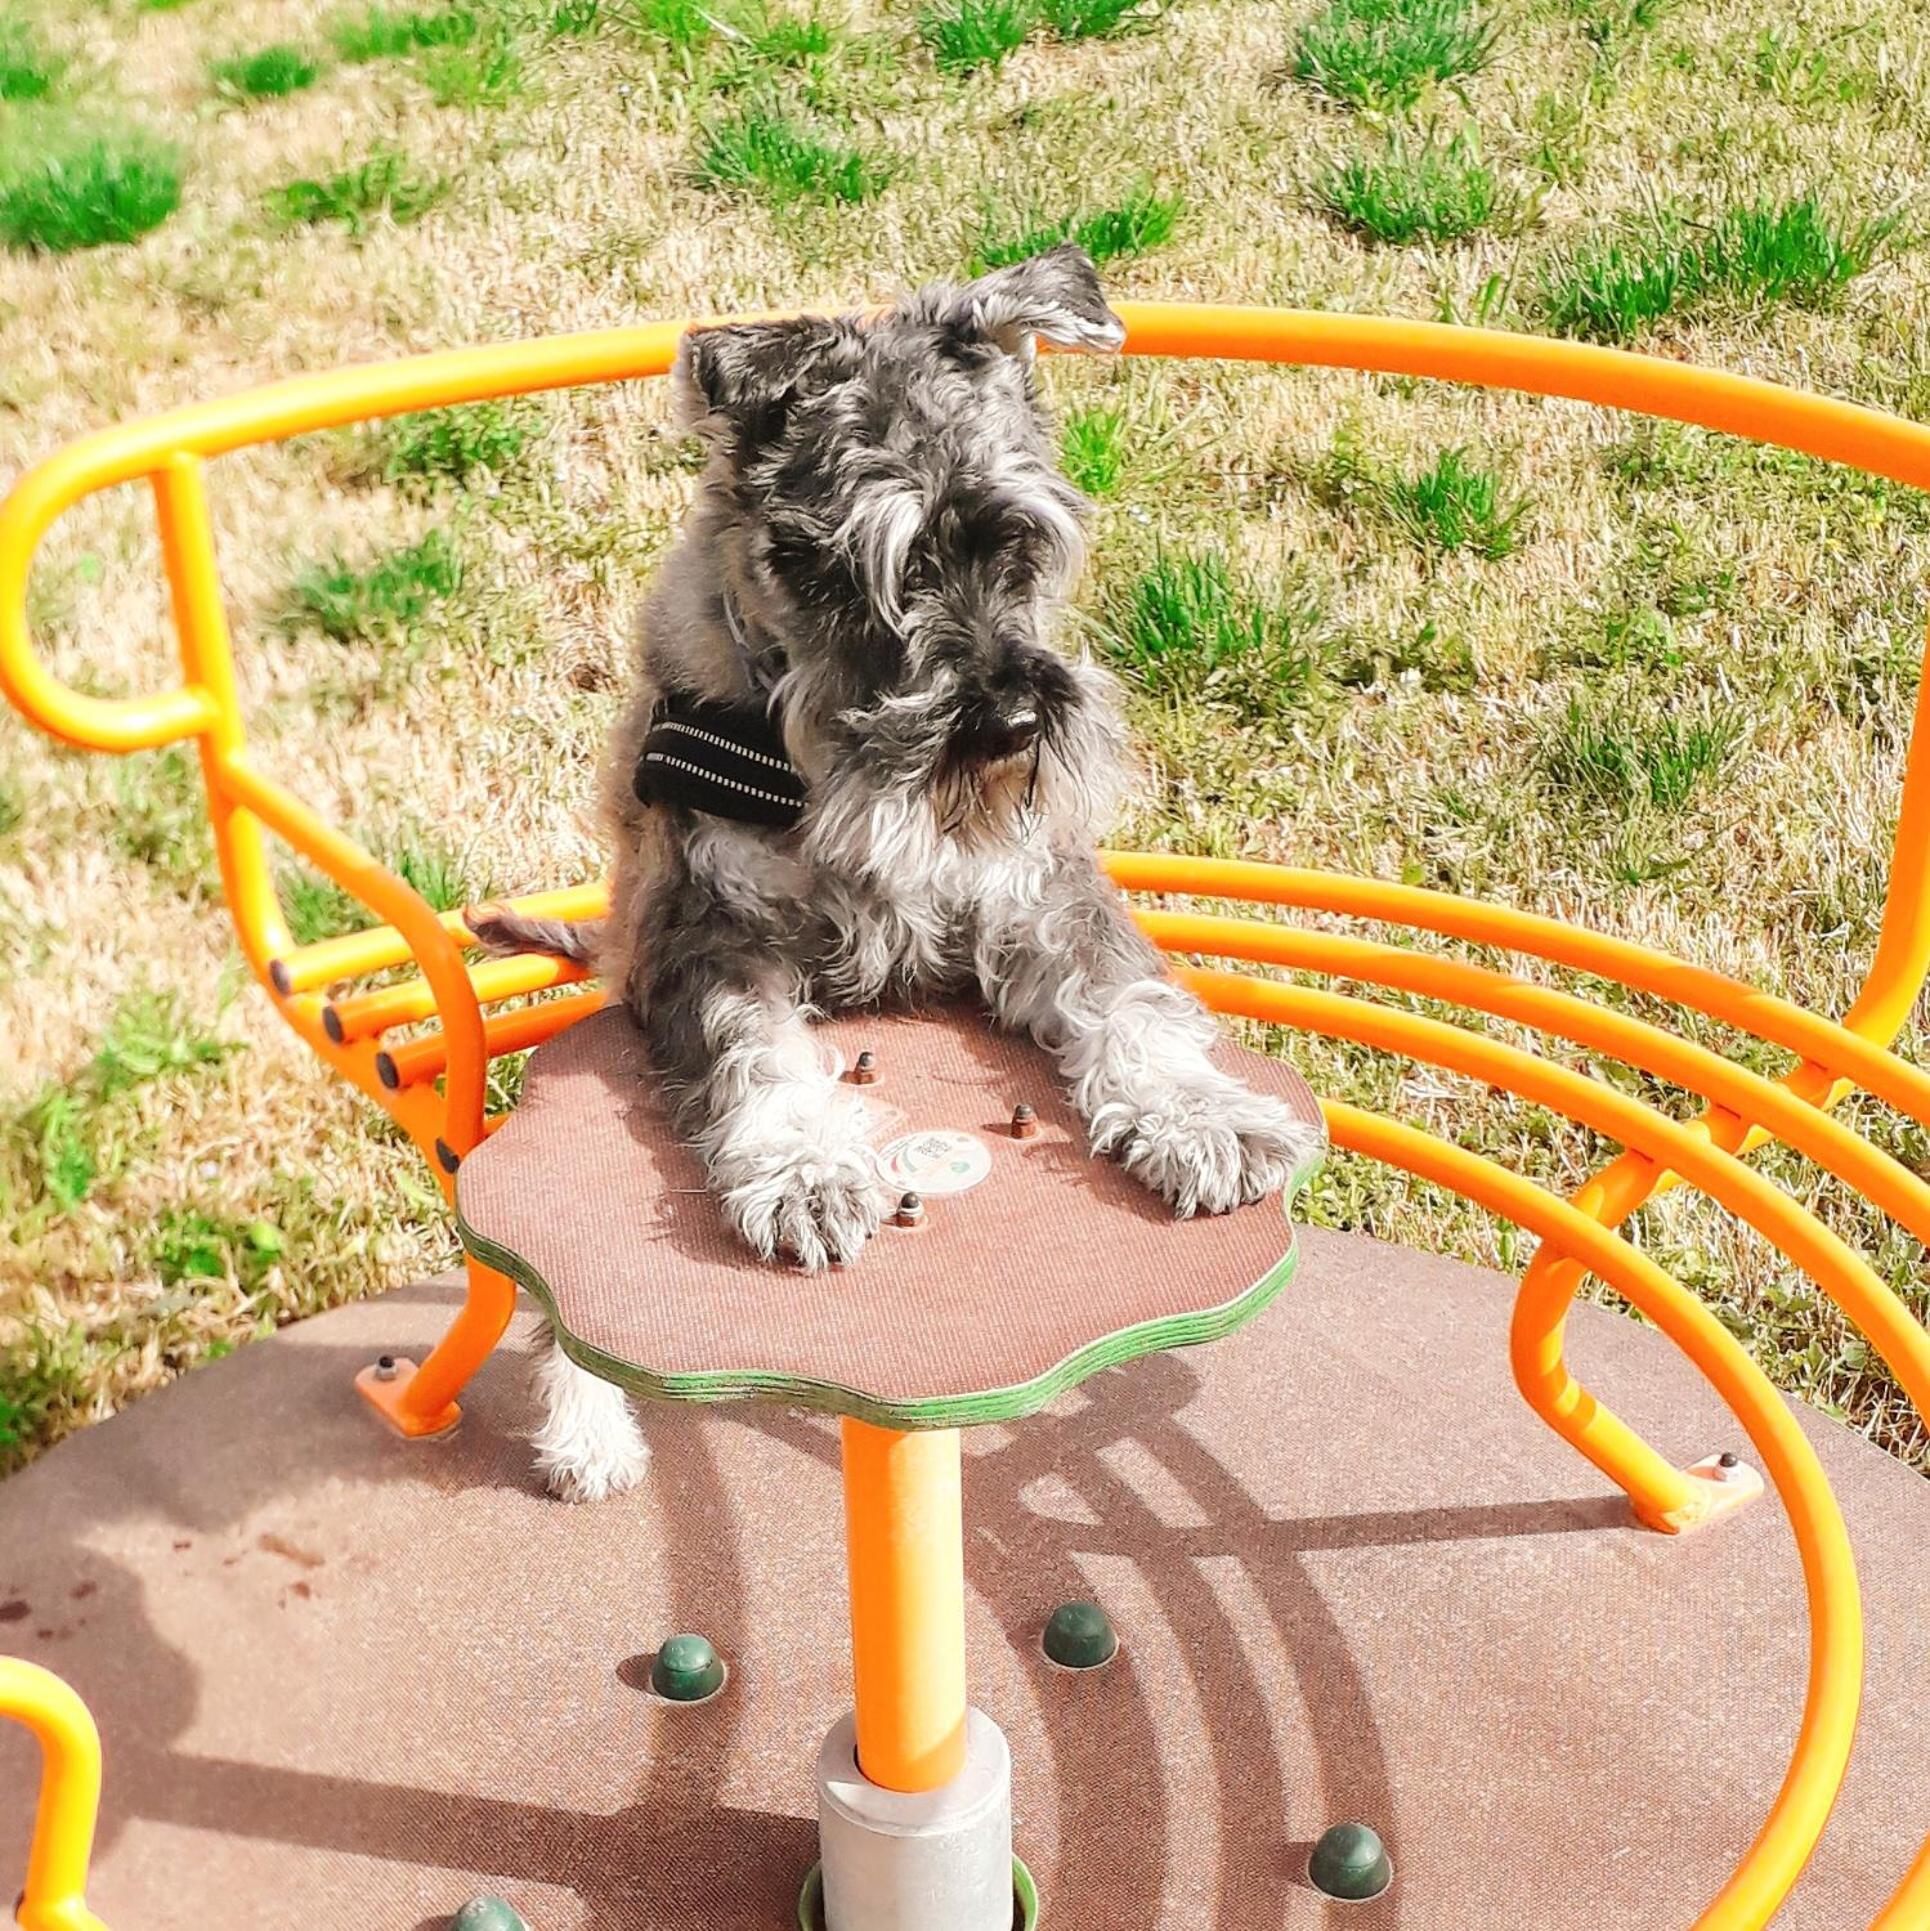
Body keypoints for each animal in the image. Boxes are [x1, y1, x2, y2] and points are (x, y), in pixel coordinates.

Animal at [479, 245, 1329, 1506]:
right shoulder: (706, 933)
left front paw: (1201, 1117)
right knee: (556, 1310)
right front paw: (805, 1170)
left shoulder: (1040, 893)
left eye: (1019, 541)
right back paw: (586, 1431)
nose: (1012, 721)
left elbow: (1128, 1002)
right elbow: (756, 1054)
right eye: (854, 570)